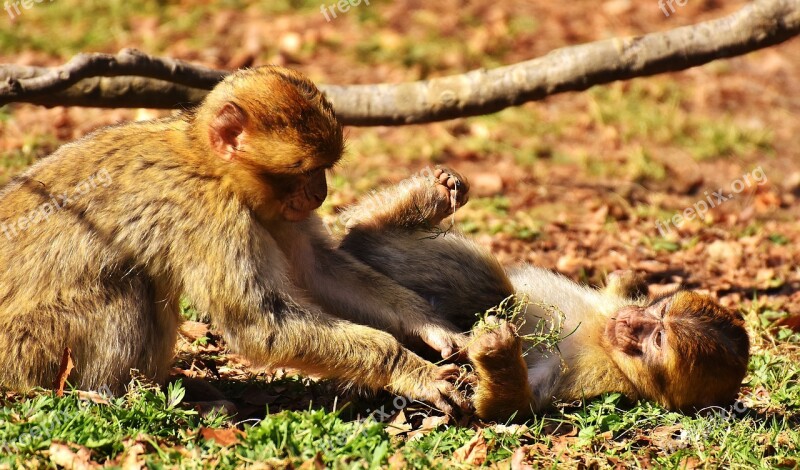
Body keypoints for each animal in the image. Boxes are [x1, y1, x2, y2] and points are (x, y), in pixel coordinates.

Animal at [0, 67, 472, 414]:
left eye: (324, 169)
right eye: (305, 170)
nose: (319, 193)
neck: (211, 165)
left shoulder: (271, 211)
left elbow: (316, 270)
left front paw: (428, 325)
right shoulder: (210, 214)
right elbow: (260, 324)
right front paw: (408, 369)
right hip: (31, 352)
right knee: (127, 288)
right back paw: (109, 396)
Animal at [332, 167, 752, 420]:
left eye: (658, 339)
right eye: (657, 315)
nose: (631, 321)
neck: (606, 341)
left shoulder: (600, 380)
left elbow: (508, 408)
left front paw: (497, 350)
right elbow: (620, 287)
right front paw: (630, 277)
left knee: (492, 285)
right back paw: (417, 203)